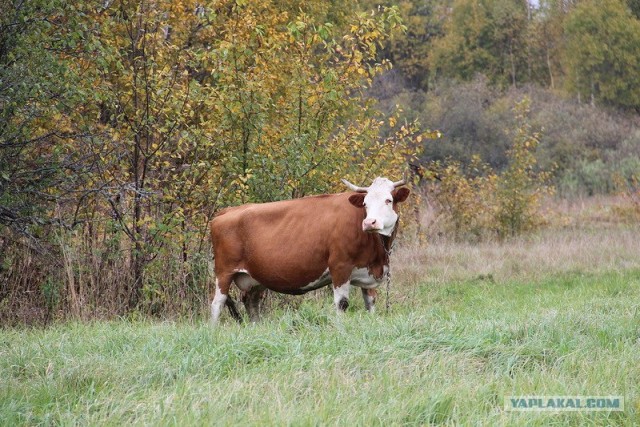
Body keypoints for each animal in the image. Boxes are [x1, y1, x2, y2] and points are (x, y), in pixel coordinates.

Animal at [210, 176, 410, 322]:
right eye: (365, 204)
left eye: (388, 200)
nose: (369, 222)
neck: (378, 253)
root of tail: (227, 211)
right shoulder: (340, 266)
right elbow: (342, 304)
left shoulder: (368, 272)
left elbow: (370, 304)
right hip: (224, 272)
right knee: (217, 304)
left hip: (256, 278)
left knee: (251, 303)